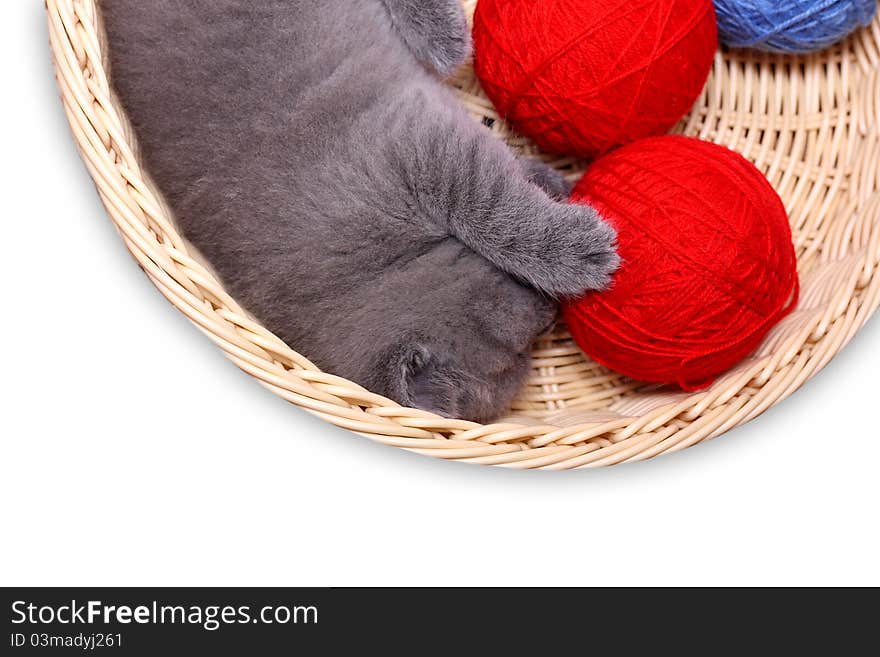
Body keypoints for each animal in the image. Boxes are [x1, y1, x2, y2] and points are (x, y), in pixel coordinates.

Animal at [99, 0, 616, 420]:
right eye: (523, 352)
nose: (551, 314)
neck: (381, 260)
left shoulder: (425, 153)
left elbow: (491, 209)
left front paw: (581, 251)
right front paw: (558, 193)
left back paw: (443, 37)